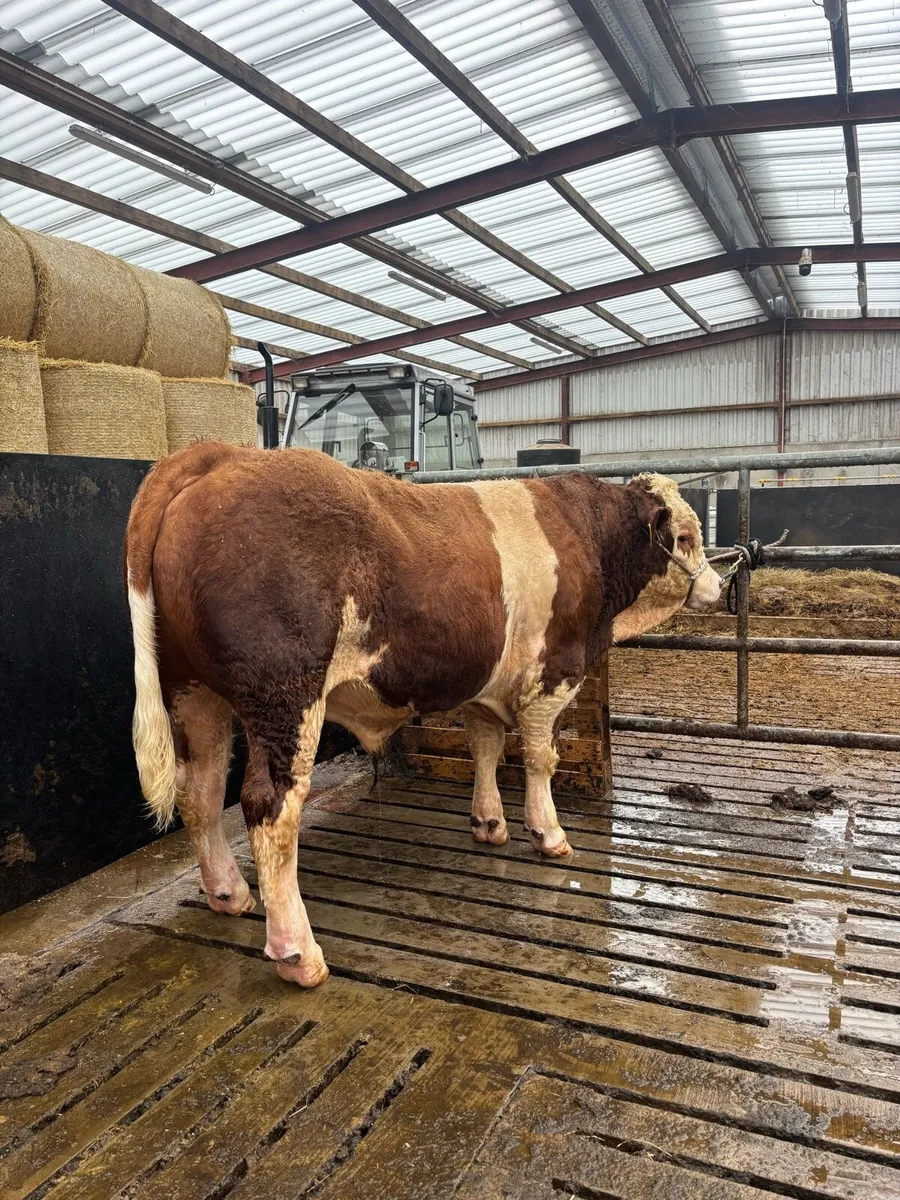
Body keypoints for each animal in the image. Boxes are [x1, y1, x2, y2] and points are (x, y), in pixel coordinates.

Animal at [125, 442, 721, 988]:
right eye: (687, 537)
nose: (717, 585)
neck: (587, 538)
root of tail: (222, 455)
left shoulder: (485, 686)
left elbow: (486, 748)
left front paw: (490, 823)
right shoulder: (554, 674)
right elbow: (539, 760)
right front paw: (548, 834)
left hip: (193, 693)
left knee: (200, 793)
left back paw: (228, 893)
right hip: (285, 700)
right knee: (268, 808)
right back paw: (298, 951)